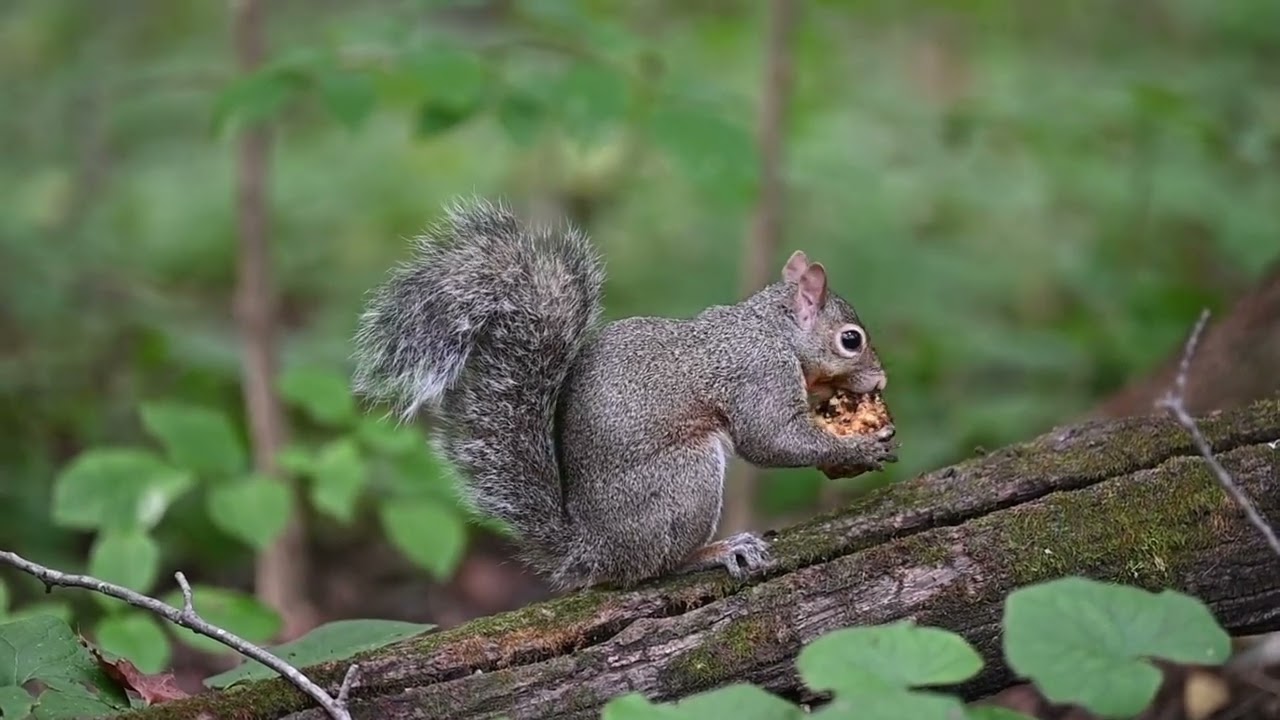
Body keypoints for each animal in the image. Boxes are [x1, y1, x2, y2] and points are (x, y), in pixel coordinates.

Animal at [351, 198, 898, 591]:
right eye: (851, 340)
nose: (880, 382)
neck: (773, 330)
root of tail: (597, 549)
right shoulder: (758, 373)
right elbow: (769, 439)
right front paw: (857, 448)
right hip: (687, 480)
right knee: (657, 566)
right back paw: (715, 552)